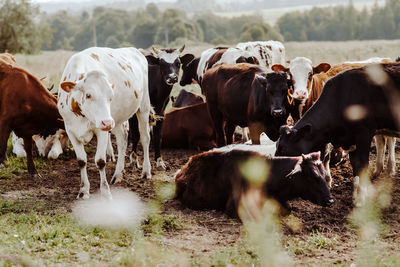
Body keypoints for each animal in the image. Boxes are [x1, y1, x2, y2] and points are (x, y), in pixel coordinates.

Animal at [58, 47, 152, 200]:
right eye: (88, 95)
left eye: (111, 96)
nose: (107, 122)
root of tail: (135, 50)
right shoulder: (70, 130)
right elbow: (81, 161)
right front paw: (83, 190)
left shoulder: (101, 130)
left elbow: (100, 161)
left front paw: (105, 192)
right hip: (117, 118)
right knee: (122, 139)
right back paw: (118, 174)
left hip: (143, 107)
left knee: (145, 138)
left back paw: (146, 171)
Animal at [276, 62, 400, 205]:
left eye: (284, 149)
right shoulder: (351, 140)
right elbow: (355, 166)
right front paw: (355, 196)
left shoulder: (364, 134)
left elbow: (362, 165)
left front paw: (361, 200)